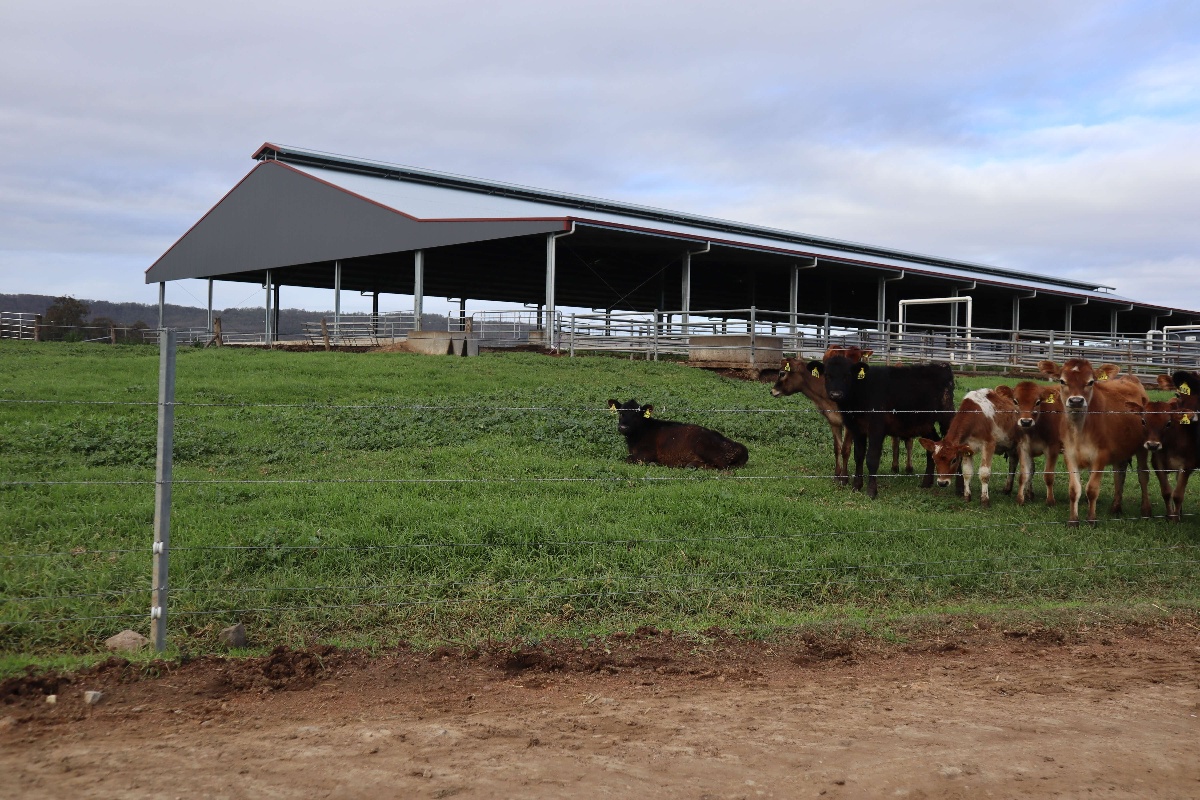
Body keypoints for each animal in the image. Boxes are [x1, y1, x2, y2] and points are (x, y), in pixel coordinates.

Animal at [609, 398, 748, 470]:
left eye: (636, 414)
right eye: (621, 412)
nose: (623, 427)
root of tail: (740, 447)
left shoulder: (648, 453)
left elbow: (629, 459)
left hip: (705, 448)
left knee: (725, 469)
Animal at [806, 355, 955, 496]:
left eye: (847, 375)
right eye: (827, 375)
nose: (836, 394)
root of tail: (942, 366)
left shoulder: (876, 429)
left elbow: (872, 458)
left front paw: (871, 491)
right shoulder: (857, 429)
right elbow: (858, 456)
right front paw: (856, 486)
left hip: (946, 416)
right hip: (924, 424)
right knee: (933, 445)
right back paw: (926, 482)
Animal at [1041, 362, 1152, 525]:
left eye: (1091, 382)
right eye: (1062, 381)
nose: (1076, 401)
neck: (1080, 431)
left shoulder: (1101, 456)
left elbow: (1092, 489)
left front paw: (1091, 519)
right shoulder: (1070, 455)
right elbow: (1074, 489)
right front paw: (1073, 520)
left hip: (1142, 448)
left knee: (1143, 475)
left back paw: (1145, 510)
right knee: (1119, 473)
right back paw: (1115, 507)